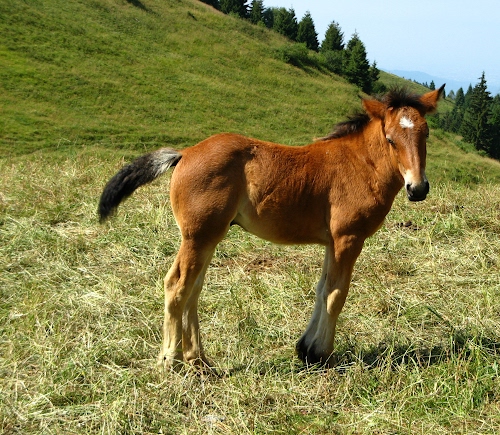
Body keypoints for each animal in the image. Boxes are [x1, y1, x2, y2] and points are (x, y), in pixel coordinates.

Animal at [99, 85, 445, 370]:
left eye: (426, 134)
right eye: (390, 139)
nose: (418, 188)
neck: (360, 165)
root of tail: (185, 153)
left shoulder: (332, 243)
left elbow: (322, 290)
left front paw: (306, 349)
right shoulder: (349, 238)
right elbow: (337, 294)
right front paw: (322, 354)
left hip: (208, 237)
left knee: (193, 288)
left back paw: (198, 359)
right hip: (197, 236)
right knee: (177, 285)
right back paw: (170, 360)